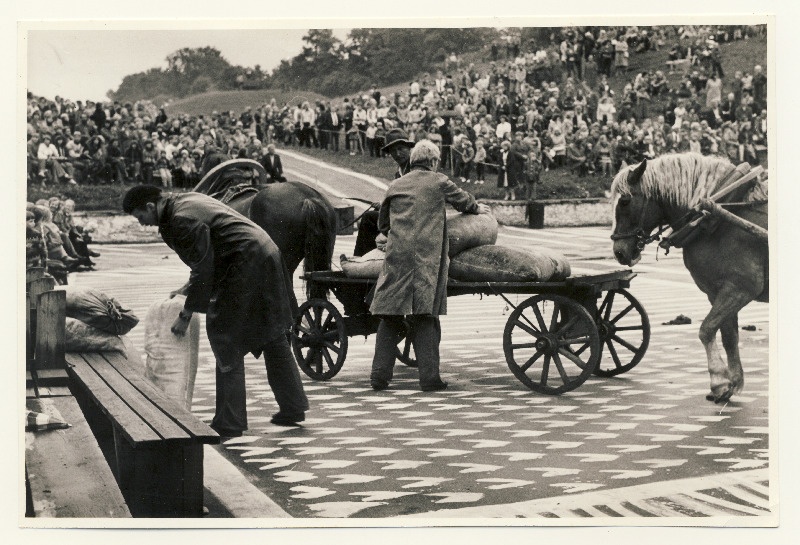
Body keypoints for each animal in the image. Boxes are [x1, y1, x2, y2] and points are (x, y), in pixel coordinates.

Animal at [612, 153, 768, 404]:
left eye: (625, 201)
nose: (619, 252)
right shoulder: (718, 292)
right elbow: (728, 335)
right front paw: (732, 383)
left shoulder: (741, 288)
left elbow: (706, 329)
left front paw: (719, 381)